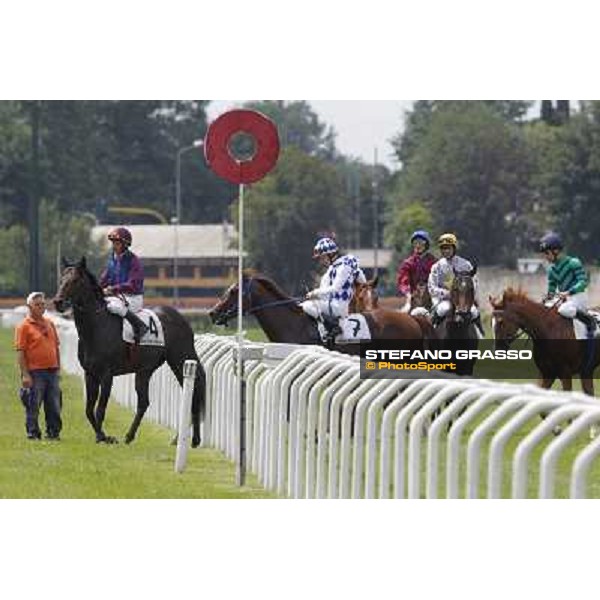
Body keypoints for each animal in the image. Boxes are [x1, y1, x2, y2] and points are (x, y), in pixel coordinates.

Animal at [53, 258, 206, 446]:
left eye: (75, 280)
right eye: (62, 279)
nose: (58, 302)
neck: (96, 327)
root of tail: (181, 318)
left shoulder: (107, 375)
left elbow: (100, 409)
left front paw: (103, 437)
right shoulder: (90, 374)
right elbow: (89, 410)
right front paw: (102, 435)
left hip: (180, 358)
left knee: (194, 389)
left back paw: (194, 439)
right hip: (144, 370)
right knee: (144, 402)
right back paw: (131, 435)